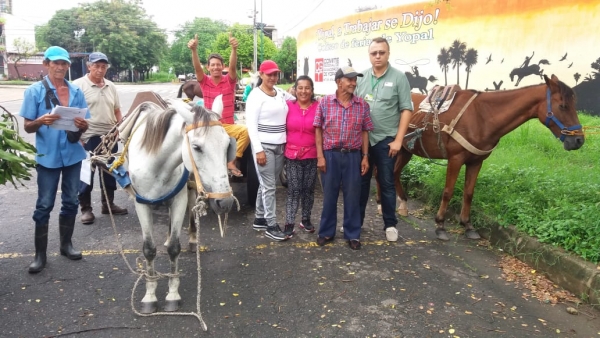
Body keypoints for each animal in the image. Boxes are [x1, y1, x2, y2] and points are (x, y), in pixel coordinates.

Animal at [125, 96, 233, 312]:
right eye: (197, 147)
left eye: (227, 145)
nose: (225, 202)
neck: (155, 163)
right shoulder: (141, 204)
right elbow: (149, 249)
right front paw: (149, 296)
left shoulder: (179, 200)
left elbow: (175, 247)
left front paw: (172, 294)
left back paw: (191, 239)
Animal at [392, 75, 584, 242]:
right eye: (563, 106)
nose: (579, 140)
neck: (481, 116)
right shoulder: (456, 159)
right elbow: (448, 192)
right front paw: (440, 225)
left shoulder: (476, 161)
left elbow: (469, 193)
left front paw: (467, 225)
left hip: (405, 150)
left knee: (393, 172)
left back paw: (401, 205)